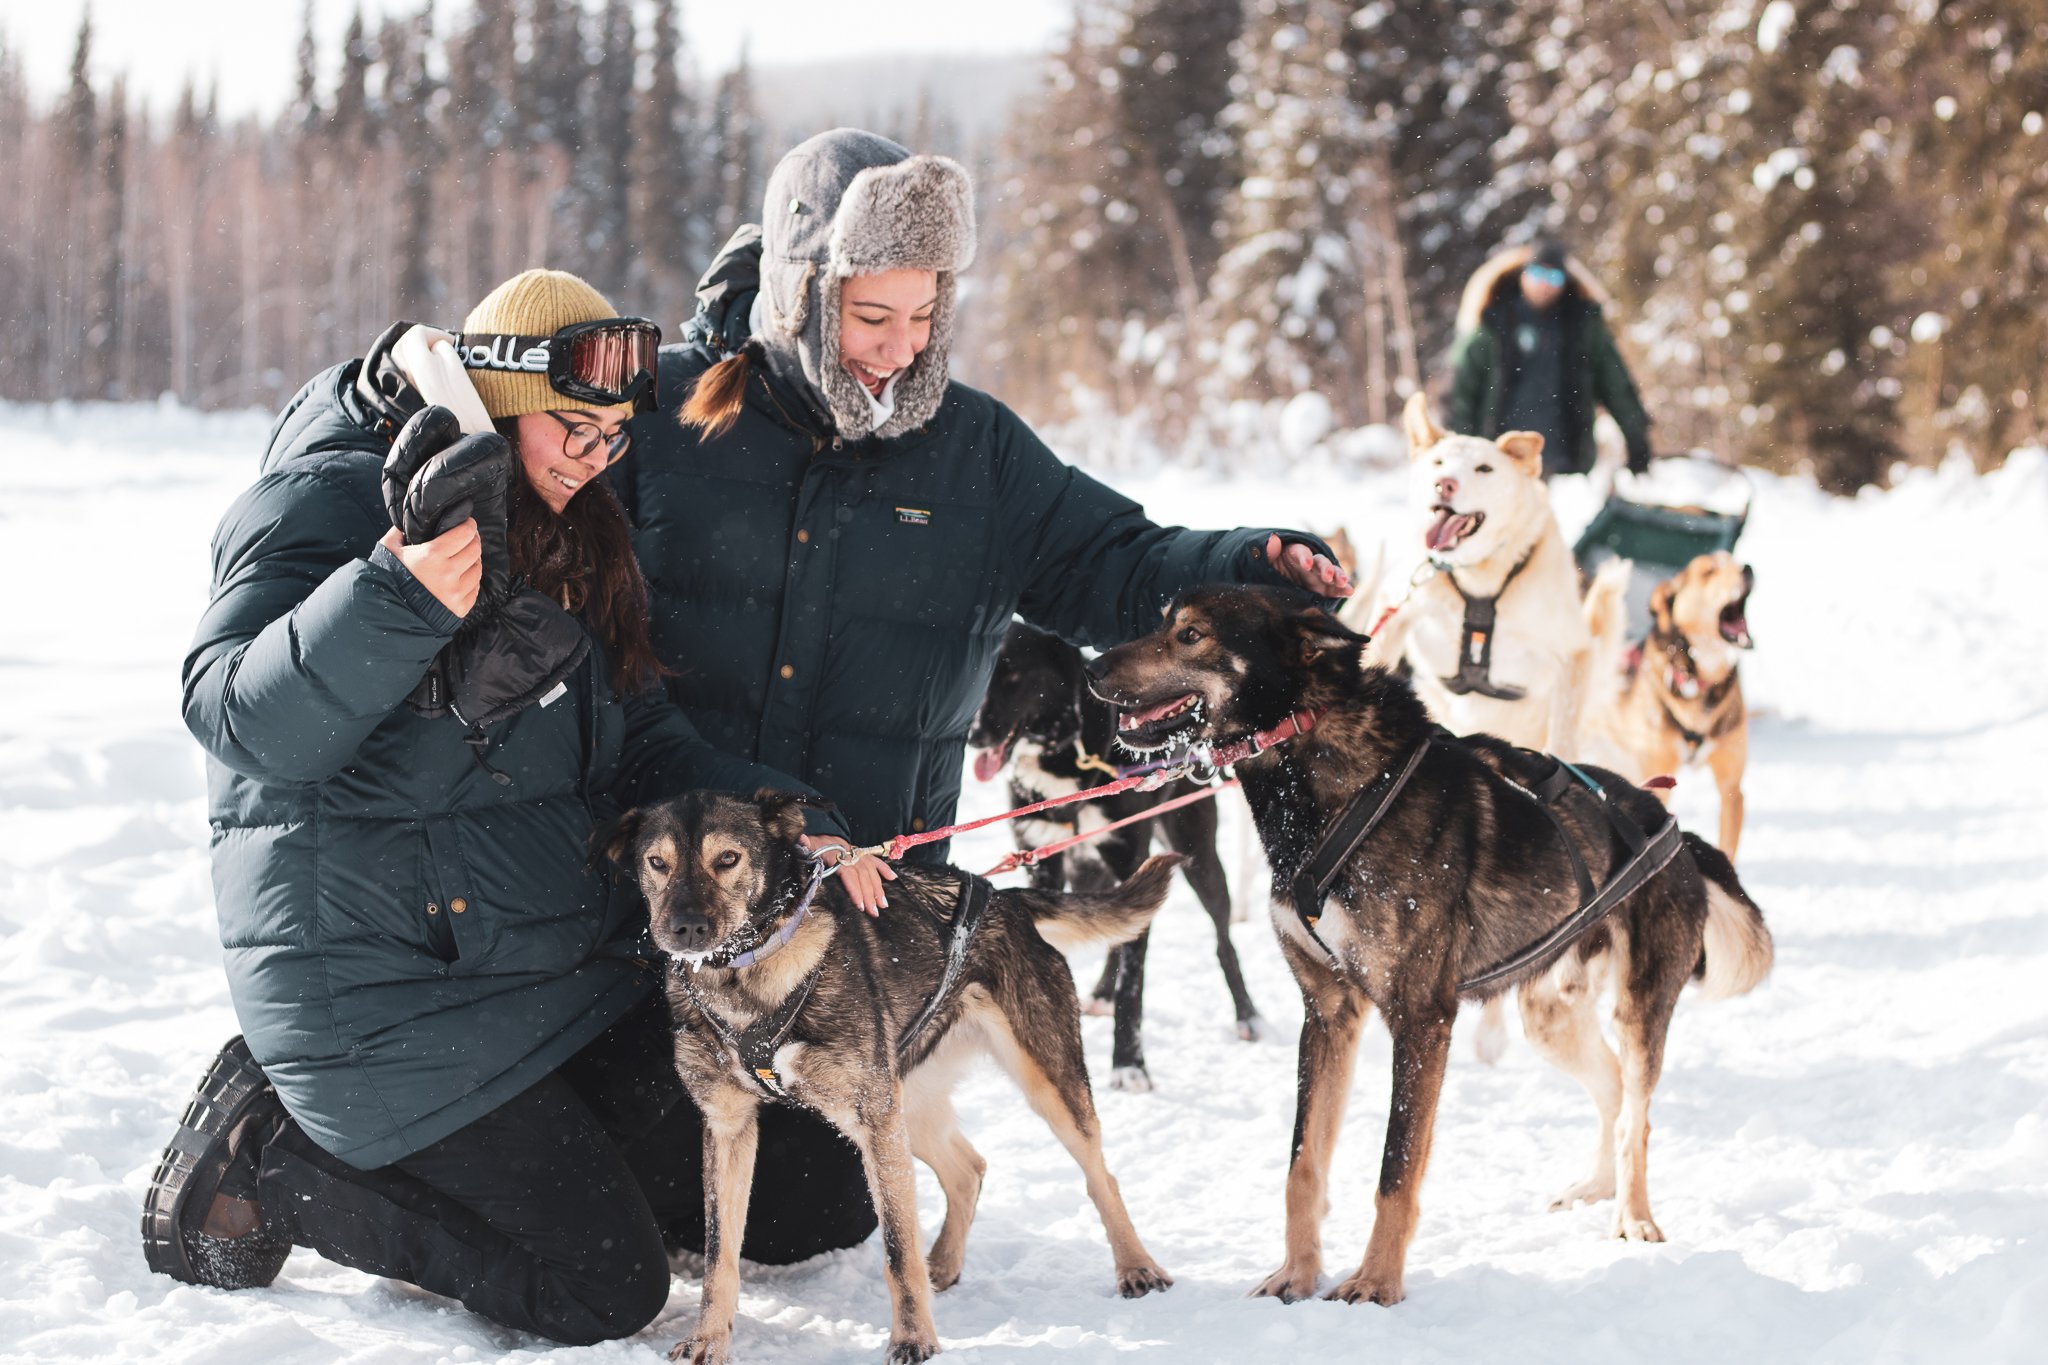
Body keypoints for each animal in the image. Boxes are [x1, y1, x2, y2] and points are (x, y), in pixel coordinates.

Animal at [598, 789, 1171, 1365]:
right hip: (906, 1105)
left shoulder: (873, 1119)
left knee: (1100, 1176)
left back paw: (1137, 1266)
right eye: (657, 862)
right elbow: (720, 1254)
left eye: (728, 858)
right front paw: (708, 1340)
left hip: (1035, 1084)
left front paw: (914, 1338)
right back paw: (944, 1263)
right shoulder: (729, 1125)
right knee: (969, 1169)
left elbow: (898, 1249)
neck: (745, 980)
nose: (685, 928)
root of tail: (1006, 897)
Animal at [1089, 589, 1777, 1309]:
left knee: (1634, 1114)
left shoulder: (1421, 1019)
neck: (1318, 782)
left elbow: (1395, 1169)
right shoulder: (1329, 1013)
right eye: (1162, 621)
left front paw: (1375, 1283)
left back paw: (1633, 1216)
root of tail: (1672, 827)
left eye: (1190, 634)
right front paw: (1298, 1274)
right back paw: (1596, 1189)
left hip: (1638, 1008)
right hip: (1551, 1018)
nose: (1091, 668)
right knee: (1613, 1090)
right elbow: (1303, 1163)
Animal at [1572, 552, 1753, 855]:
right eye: (1709, 571)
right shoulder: (1658, 782)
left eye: (1732, 559)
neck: (1700, 682)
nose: (1747, 568)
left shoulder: (1731, 787)